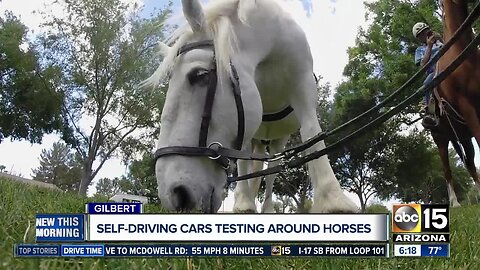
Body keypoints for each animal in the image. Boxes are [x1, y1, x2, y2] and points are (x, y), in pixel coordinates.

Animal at [146, 0, 356, 214]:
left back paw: (267, 207)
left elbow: (312, 134)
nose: (175, 193)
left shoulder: (303, 89)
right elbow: (243, 161)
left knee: (273, 169)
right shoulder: (245, 125)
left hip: (279, 139)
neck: (272, 46)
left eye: (200, 75)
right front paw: (244, 203)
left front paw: (333, 199)